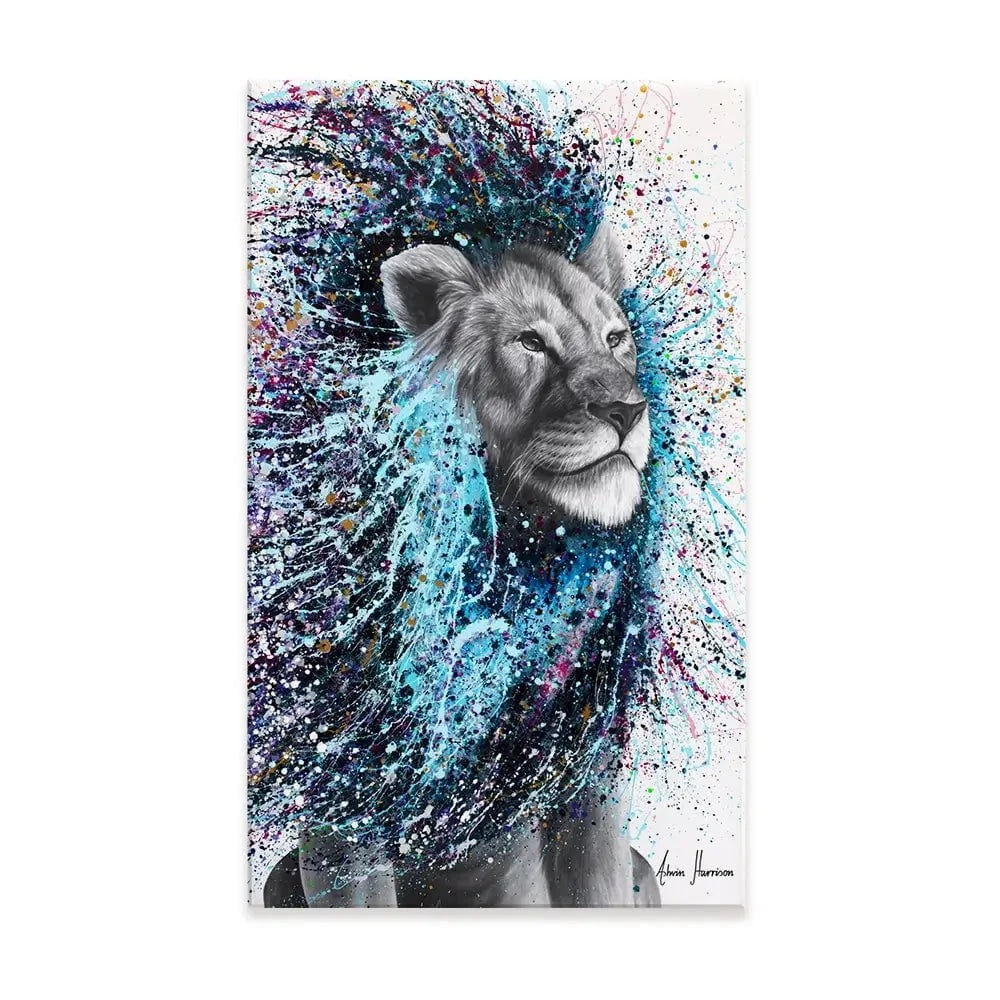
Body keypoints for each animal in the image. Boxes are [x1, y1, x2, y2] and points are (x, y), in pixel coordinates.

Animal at [263, 222, 660, 906]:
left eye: (616, 338)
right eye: (530, 342)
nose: (627, 412)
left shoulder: (592, 763)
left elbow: (598, 882)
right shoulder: (347, 795)